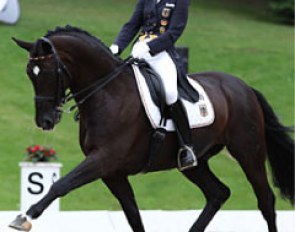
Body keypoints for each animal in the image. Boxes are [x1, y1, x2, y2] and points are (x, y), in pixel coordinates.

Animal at [10, 25, 294, 232]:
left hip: (248, 152)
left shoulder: (103, 160)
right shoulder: (112, 173)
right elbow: (133, 215)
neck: (108, 91)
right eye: (30, 73)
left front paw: (25, 216)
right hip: (195, 162)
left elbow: (60, 185)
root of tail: (244, 87)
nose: (45, 121)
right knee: (218, 193)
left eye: (49, 72)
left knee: (265, 200)